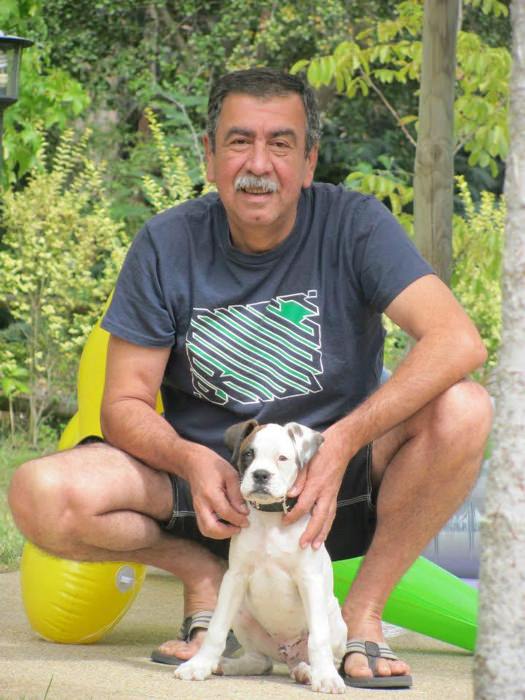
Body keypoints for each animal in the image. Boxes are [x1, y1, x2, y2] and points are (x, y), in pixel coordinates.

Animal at [174, 420, 347, 694]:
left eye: (282, 458)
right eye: (248, 454)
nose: (261, 475)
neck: (270, 518)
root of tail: (288, 655)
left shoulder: (310, 580)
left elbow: (319, 638)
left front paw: (327, 678)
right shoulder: (234, 578)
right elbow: (216, 628)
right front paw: (198, 665)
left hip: (336, 620)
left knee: (327, 653)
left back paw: (309, 672)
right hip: (243, 616)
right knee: (260, 662)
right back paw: (225, 665)